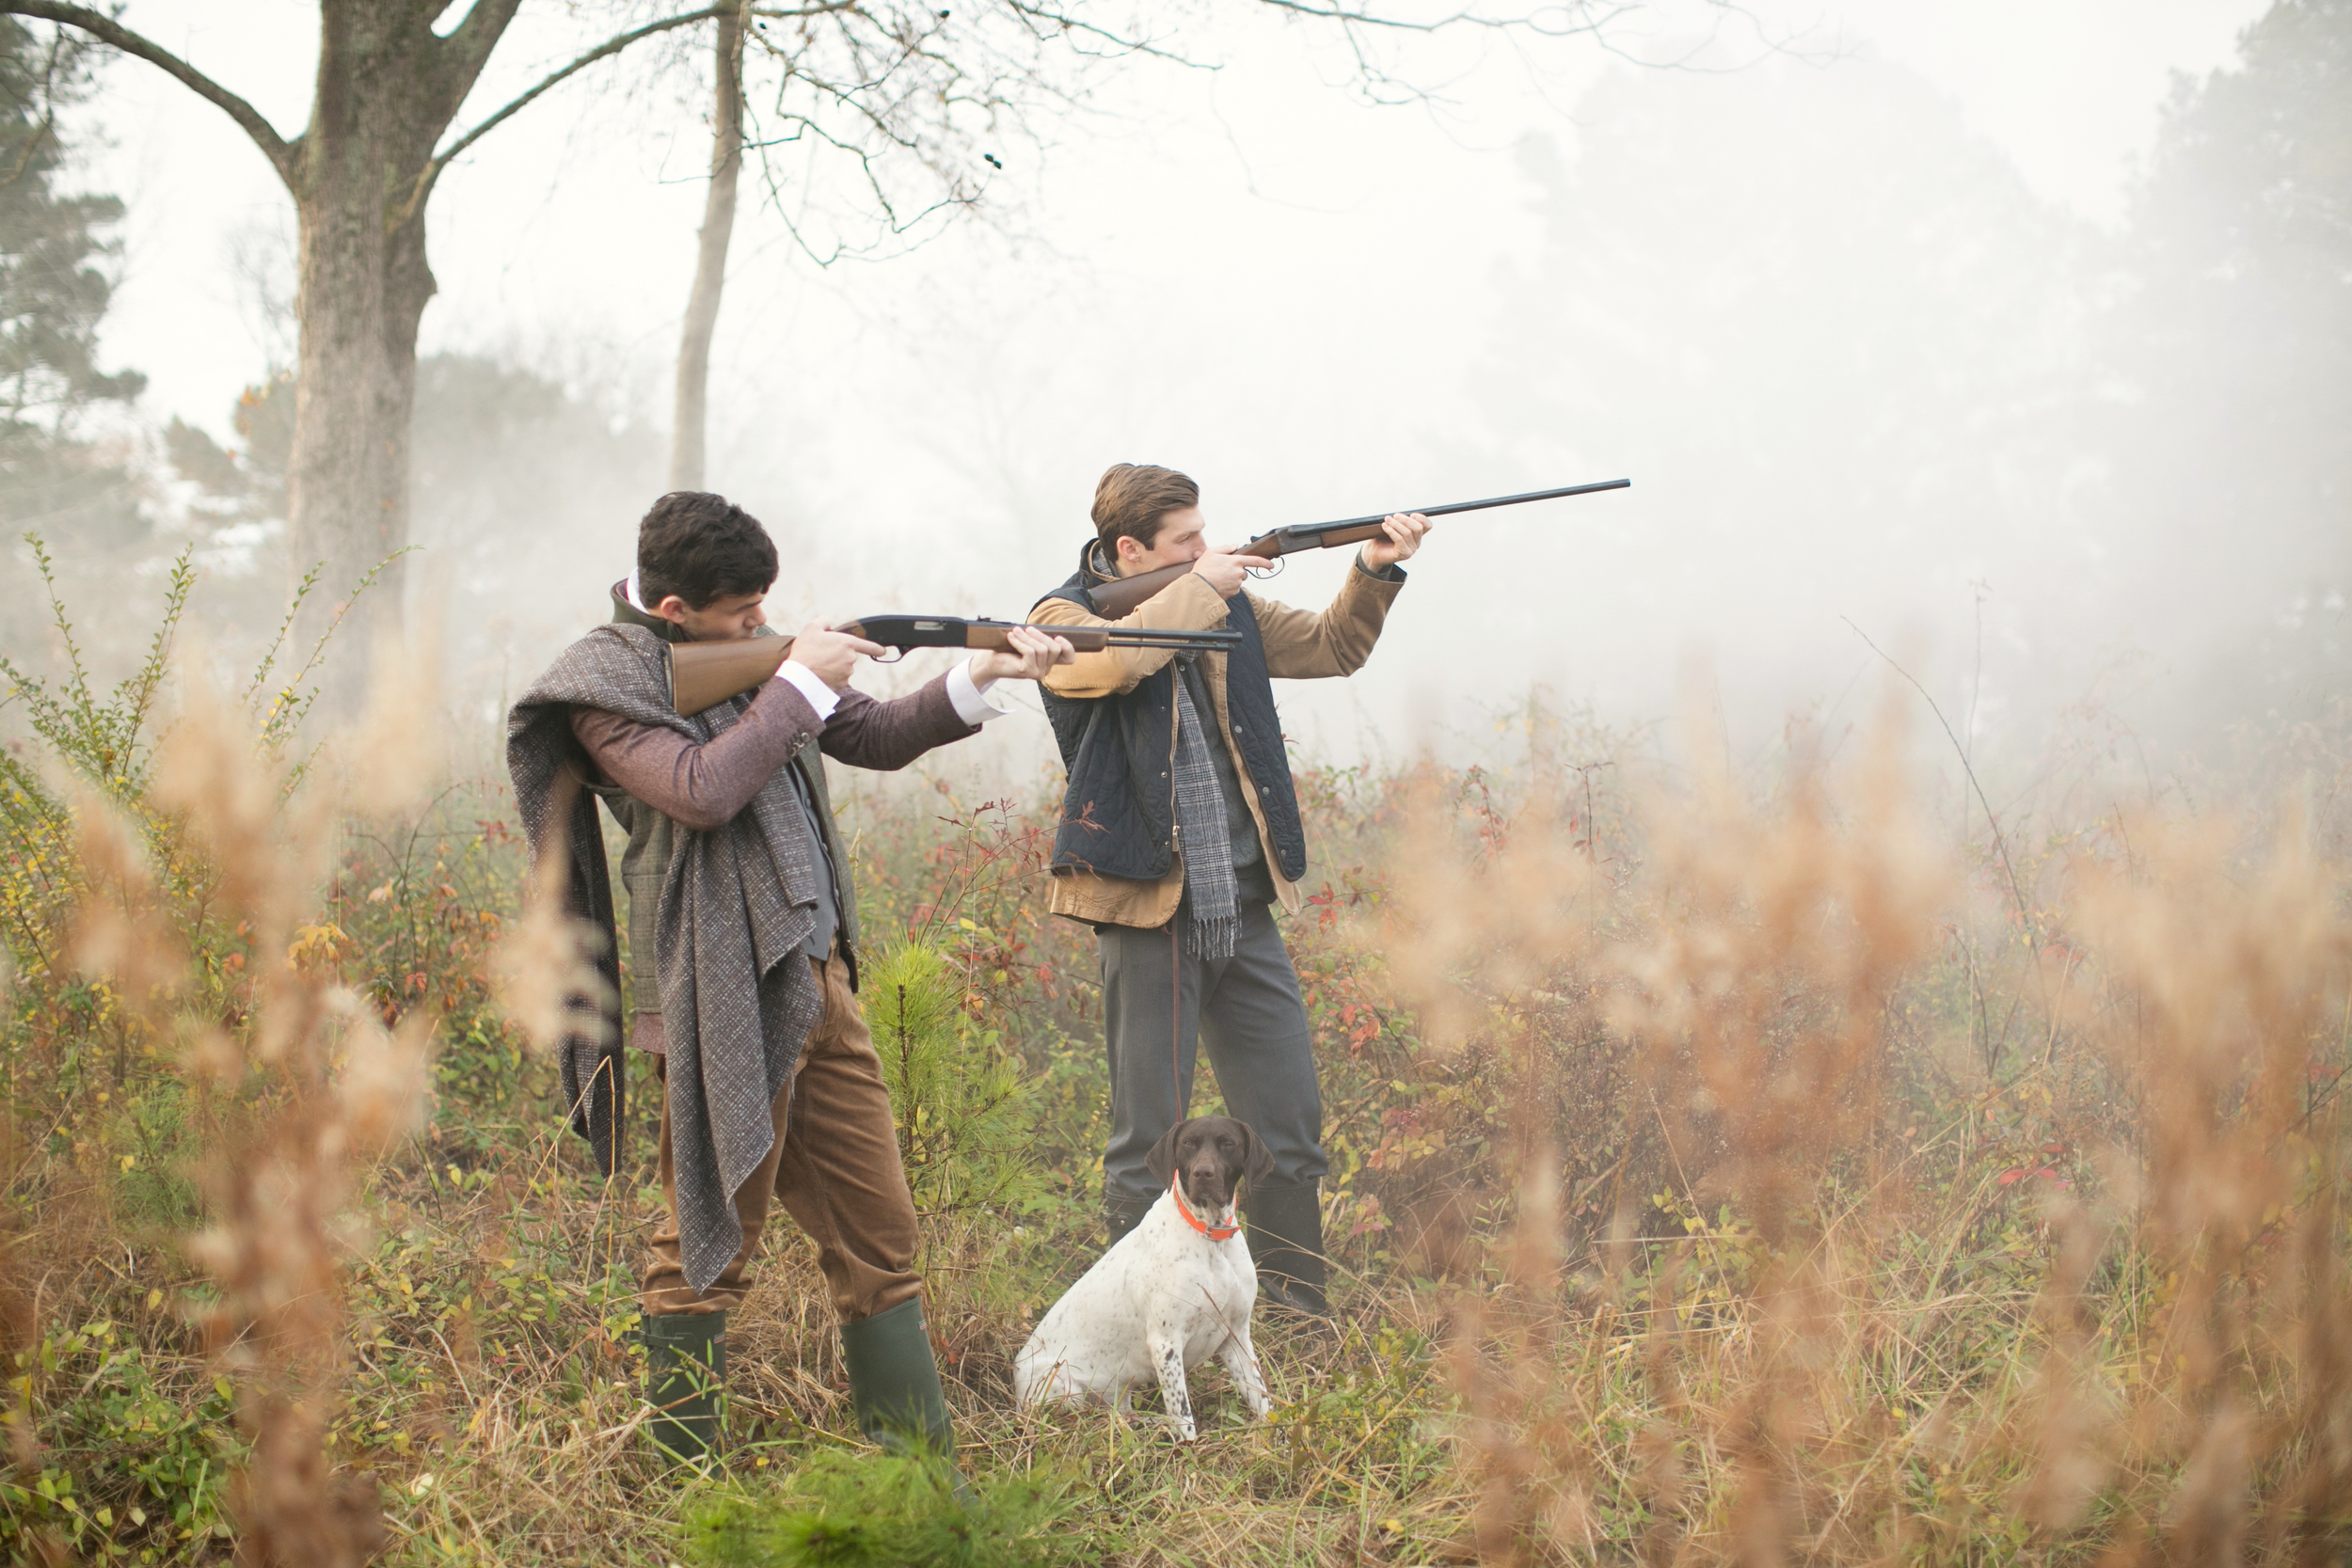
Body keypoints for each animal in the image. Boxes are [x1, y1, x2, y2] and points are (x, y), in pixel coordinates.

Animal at [1007, 1114, 1270, 1448]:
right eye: (1188, 1143)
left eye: (1228, 1143)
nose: (1203, 1173)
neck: (1210, 1236)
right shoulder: (1165, 1343)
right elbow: (1183, 1416)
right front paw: (1190, 1452)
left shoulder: (1236, 1336)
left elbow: (1262, 1399)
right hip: (1062, 1385)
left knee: (1124, 1414)